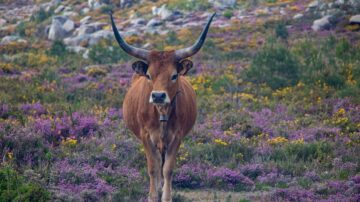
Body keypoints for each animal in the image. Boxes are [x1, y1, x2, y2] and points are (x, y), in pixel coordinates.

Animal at [109, 13, 215, 202]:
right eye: (149, 75)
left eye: (174, 75)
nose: (158, 96)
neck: (162, 113)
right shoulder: (145, 136)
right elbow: (153, 167)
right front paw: (152, 196)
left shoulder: (177, 136)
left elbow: (168, 169)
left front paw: (166, 197)